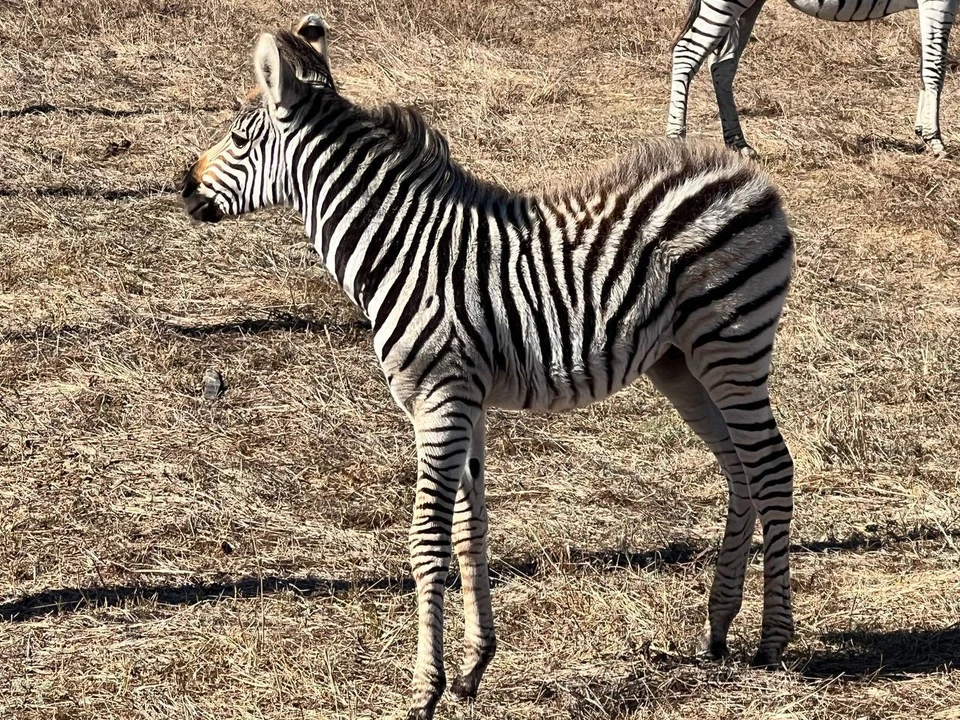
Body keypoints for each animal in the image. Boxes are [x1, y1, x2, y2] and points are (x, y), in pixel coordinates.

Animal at [184, 15, 800, 720]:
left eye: (238, 137)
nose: (181, 187)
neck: (402, 249)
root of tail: (744, 174)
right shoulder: (464, 401)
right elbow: (469, 529)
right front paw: (474, 666)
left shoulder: (440, 399)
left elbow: (427, 542)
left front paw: (424, 689)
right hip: (682, 364)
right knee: (740, 469)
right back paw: (719, 625)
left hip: (733, 347)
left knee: (772, 467)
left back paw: (773, 639)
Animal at [672, 0, 956, 157]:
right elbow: (935, 67)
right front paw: (935, 139)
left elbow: (924, 66)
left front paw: (922, 131)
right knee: (685, 52)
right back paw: (676, 139)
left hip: (749, 6)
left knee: (723, 65)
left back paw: (737, 142)